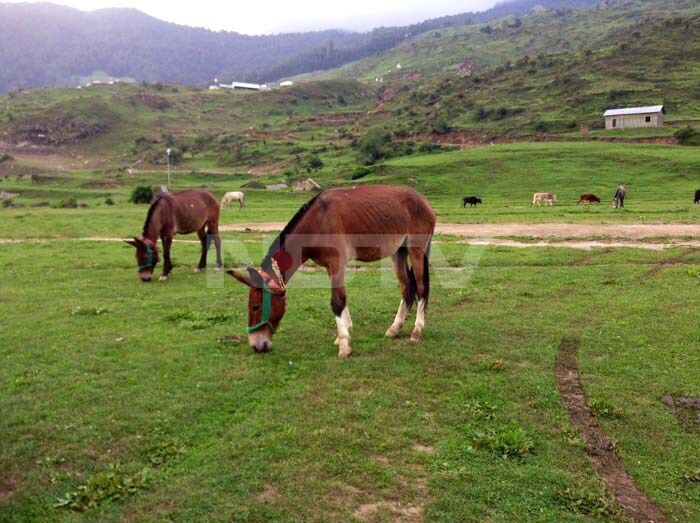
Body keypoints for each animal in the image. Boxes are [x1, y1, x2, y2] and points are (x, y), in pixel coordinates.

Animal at [230, 185, 434, 360]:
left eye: (255, 307)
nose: (256, 346)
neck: (318, 221)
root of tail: (424, 201)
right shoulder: (330, 267)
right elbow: (343, 299)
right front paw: (345, 333)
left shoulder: (336, 264)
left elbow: (337, 302)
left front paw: (344, 346)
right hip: (398, 252)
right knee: (407, 288)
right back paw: (394, 328)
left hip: (416, 251)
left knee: (421, 288)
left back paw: (417, 331)